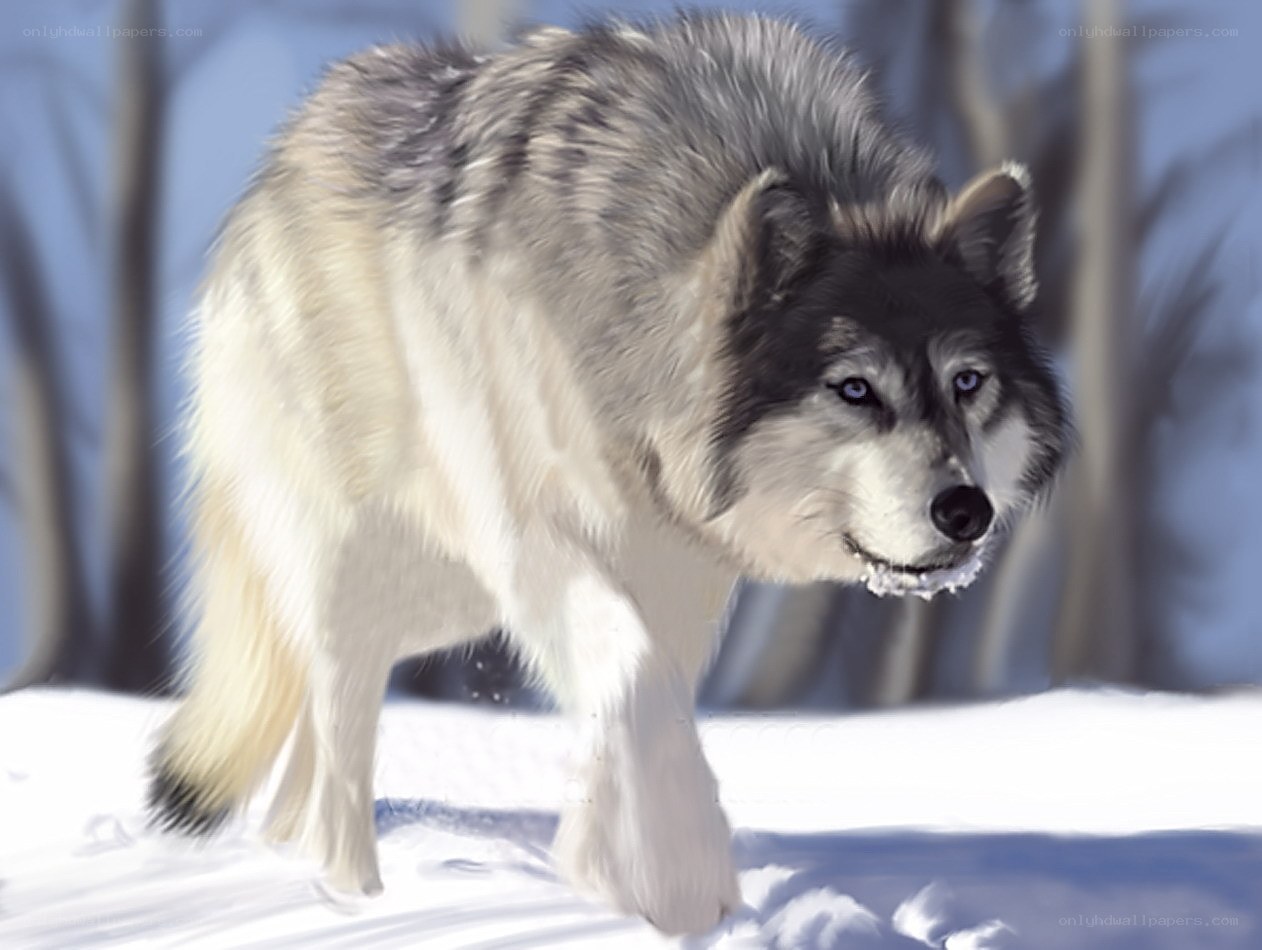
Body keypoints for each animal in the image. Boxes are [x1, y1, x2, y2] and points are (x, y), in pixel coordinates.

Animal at [148, 11, 1068, 935]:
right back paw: (350, 899)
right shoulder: (540, 540)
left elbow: (645, 700)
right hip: (364, 566)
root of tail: (278, 160)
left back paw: (292, 856)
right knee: (339, 717)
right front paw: (670, 883)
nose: (966, 511)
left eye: (967, 383)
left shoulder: (677, 576)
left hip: (445, 599)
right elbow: (632, 680)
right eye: (855, 388)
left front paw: (616, 864)